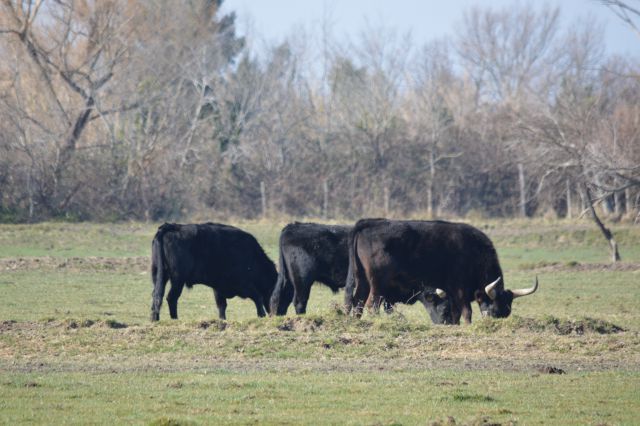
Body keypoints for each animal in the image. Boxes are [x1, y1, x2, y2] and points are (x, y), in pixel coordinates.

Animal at [152, 223, 280, 320]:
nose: (277, 314)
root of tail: (171, 226)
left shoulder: (218, 287)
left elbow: (222, 306)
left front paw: (222, 320)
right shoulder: (244, 284)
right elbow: (257, 297)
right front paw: (261, 315)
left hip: (160, 276)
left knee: (156, 296)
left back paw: (155, 319)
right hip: (178, 280)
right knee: (171, 298)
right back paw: (175, 319)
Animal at [344, 220, 536, 322]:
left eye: (505, 313)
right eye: (495, 311)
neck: (473, 252)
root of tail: (369, 223)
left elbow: (455, 312)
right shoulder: (459, 290)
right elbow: (466, 311)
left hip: (362, 279)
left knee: (357, 302)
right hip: (377, 284)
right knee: (371, 304)